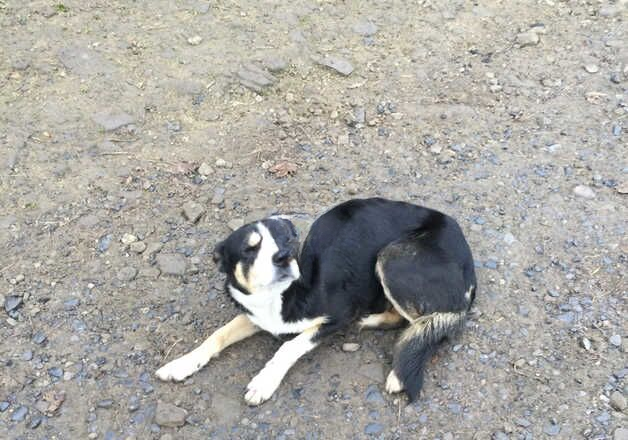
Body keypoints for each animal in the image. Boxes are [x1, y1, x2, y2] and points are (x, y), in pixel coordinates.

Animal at [156, 199, 476, 406]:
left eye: (288, 241)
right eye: (250, 249)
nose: (283, 256)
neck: (284, 294)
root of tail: (469, 262)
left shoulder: (337, 316)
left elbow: (289, 346)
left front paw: (264, 381)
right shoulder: (255, 314)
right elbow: (216, 335)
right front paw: (182, 364)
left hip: (393, 256)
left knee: (434, 325)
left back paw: (397, 363)